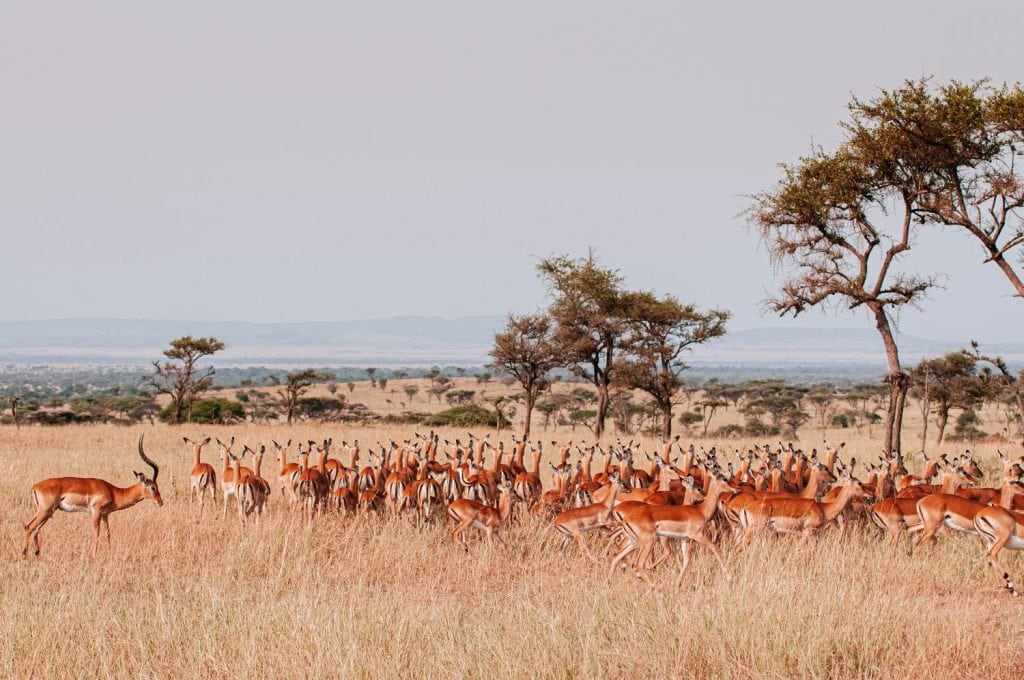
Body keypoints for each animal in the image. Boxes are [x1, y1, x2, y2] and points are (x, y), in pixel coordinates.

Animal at [23, 434, 162, 557]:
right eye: (153, 487)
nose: (160, 502)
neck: (113, 491)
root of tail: (35, 485)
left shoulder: (105, 514)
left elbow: (108, 533)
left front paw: (110, 554)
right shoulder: (96, 511)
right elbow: (96, 533)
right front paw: (94, 556)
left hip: (47, 512)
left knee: (35, 529)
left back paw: (37, 554)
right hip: (45, 511)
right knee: (29, 527)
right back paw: (24, 555)